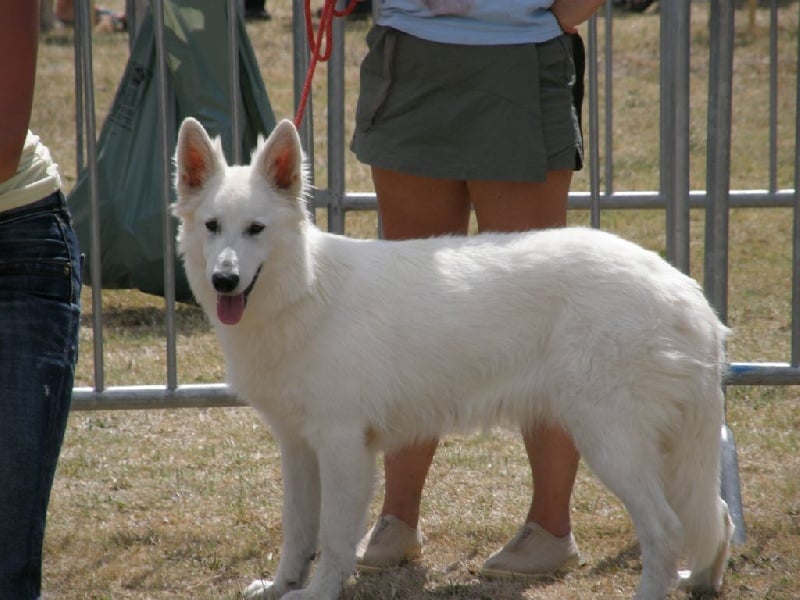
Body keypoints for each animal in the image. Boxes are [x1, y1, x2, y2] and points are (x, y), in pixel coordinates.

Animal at [173, 118, 732, 600]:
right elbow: (296, 529)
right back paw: (700, 582)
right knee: (719, 517)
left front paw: (317, 594)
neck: (306, 290)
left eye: (256, 229)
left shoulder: (341, 446)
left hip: (610, 441)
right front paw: (280, 585)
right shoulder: (297, 446)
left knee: (667, 528)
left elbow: (332, 538)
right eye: (213, 226)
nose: (224, 280)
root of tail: (686, 290)